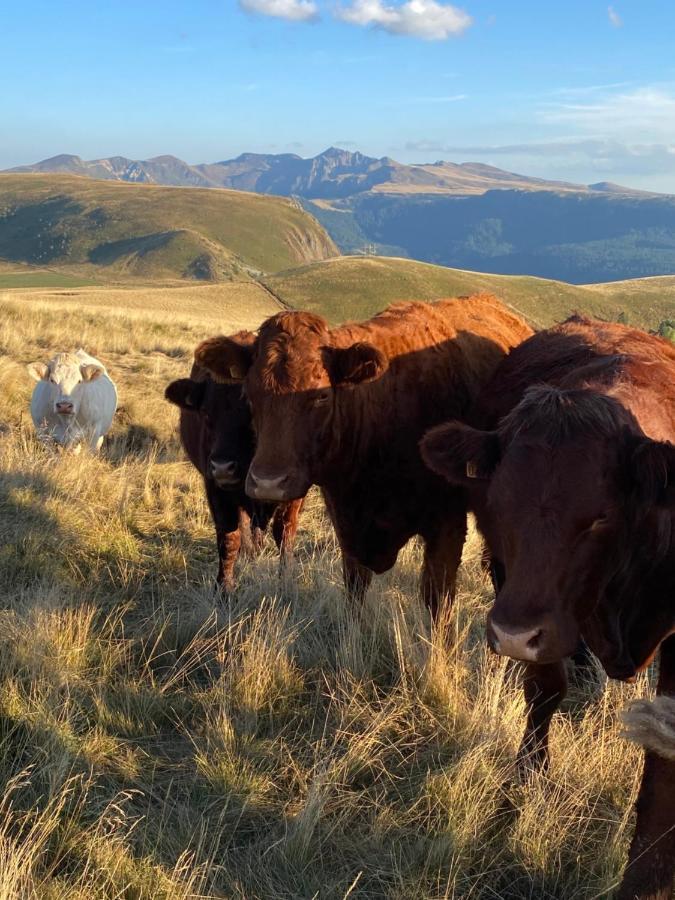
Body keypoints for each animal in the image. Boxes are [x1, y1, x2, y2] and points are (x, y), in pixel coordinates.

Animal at [165, 362, 302, 596]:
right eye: (205, 413)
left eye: (251, 412)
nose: (222, 468)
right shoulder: (217, 491)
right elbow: (229, 539)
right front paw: (224, 589)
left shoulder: (292, 494)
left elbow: (285, 535)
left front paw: (286, 582)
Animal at [193, 298, 532, 616]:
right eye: (249, 394)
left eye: (321, 394)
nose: (268, 484)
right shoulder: (347, 525)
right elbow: (355, 590)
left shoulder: (446, 528)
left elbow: (437, 603)